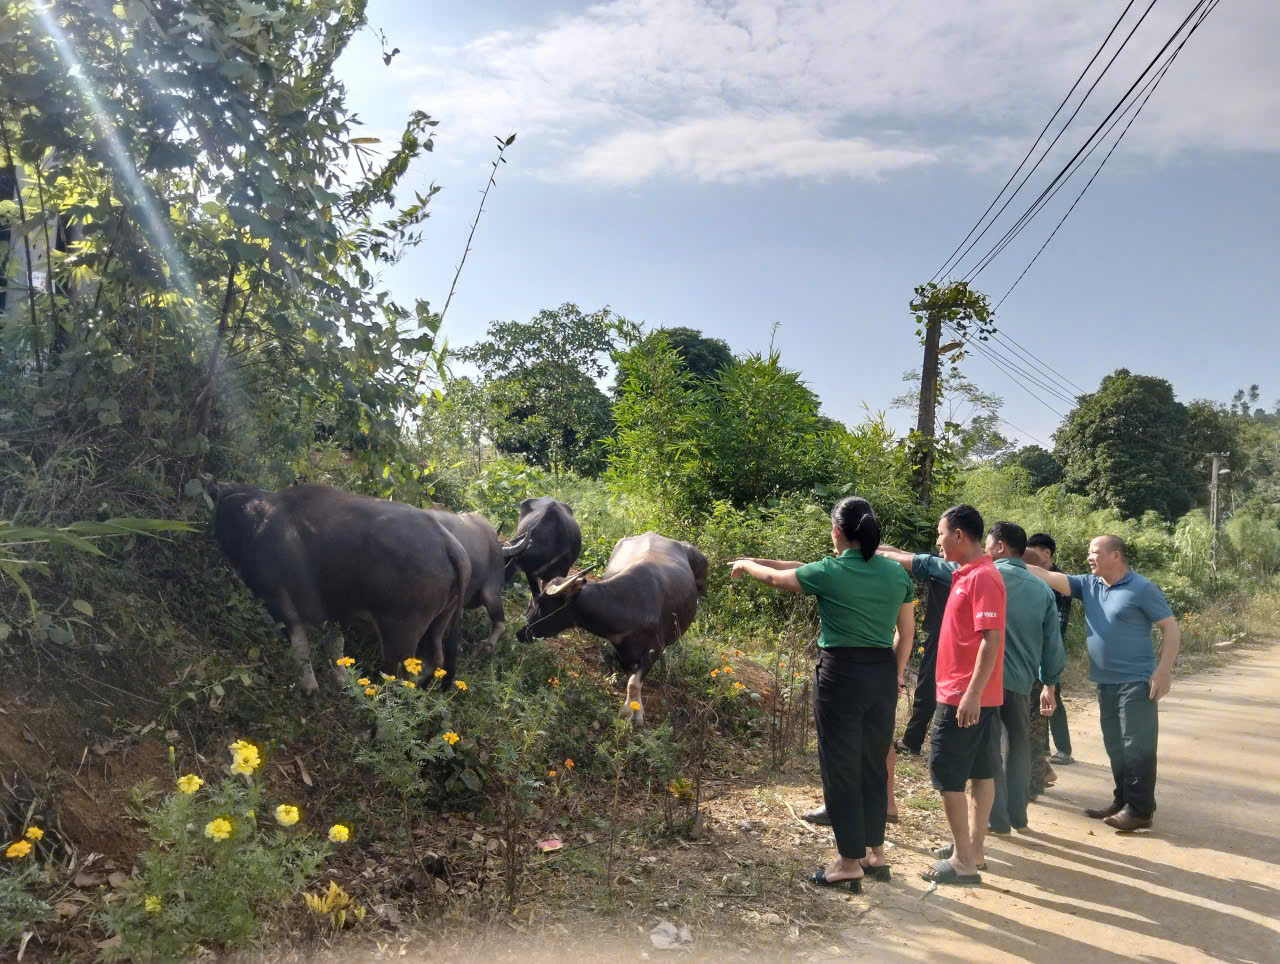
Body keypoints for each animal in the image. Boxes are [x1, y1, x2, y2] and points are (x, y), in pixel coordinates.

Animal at [209, 481, 471, 691]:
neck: (260, 522)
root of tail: (450, 545)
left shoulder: (275, 594)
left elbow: (299, 640)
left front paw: (308, 686)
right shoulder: (332, 609)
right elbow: (336, 642)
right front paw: (342, 681)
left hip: (401, 631)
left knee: (400, 672)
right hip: (440, 620)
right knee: (434, 659)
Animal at [512, 535, 711, 722]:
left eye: (542, 602)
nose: (521, 632)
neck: (629, 605)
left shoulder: (653, 649)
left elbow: (634, 683)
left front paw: (636, 715)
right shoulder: (621, 651)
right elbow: (631, 681)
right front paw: (631, 710)